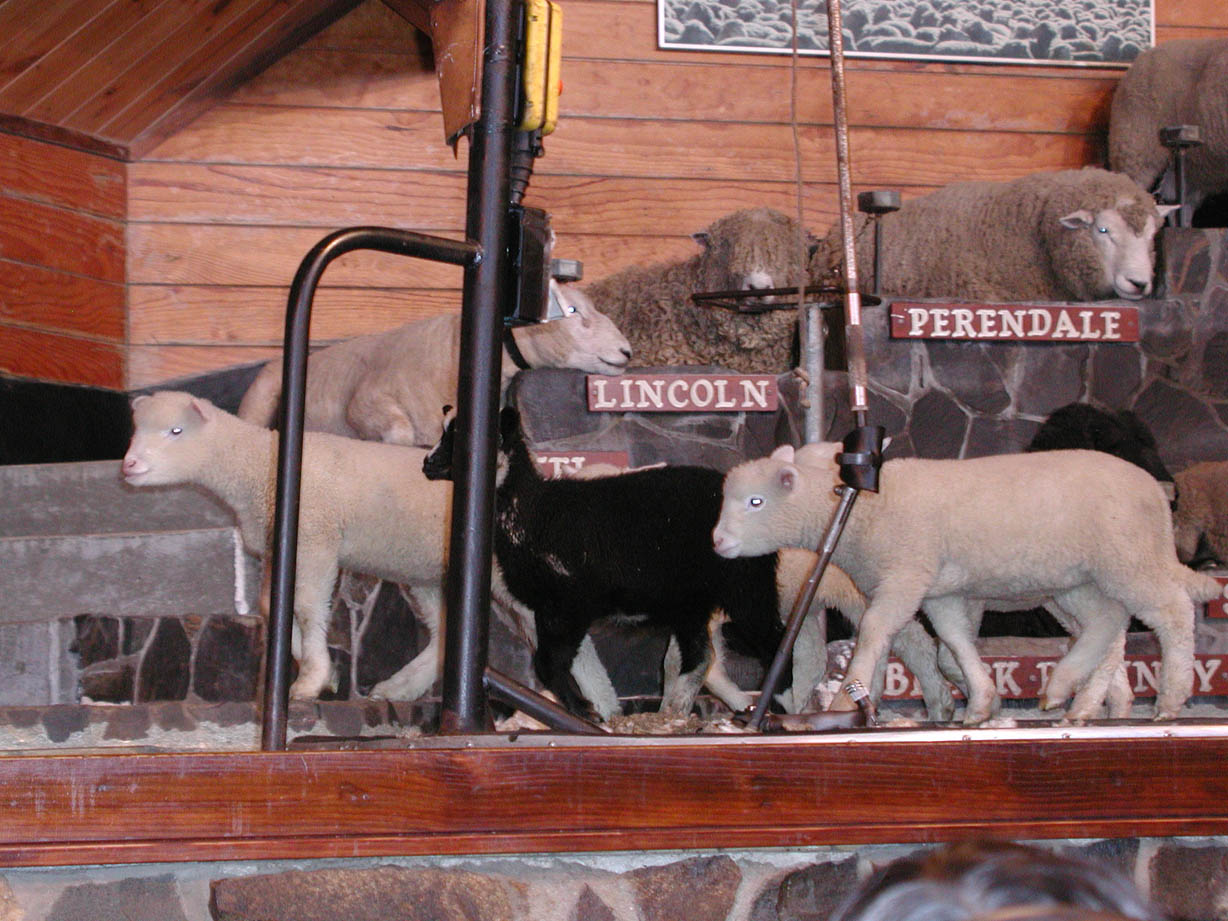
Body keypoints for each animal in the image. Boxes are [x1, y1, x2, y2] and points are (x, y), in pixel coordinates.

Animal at [120, 391, 620, 715]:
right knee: (442, 633)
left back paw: (603, 708)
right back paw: (400, 687)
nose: (128, 466)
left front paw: (310, 679)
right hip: (425, 575)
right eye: (136, 431)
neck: (256, 468)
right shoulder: (284, 549)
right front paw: (321, 672)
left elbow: (308, 607)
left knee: (572, 644)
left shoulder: (317, 541)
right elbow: (272, 607)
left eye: (176, 430)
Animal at [713, 443, 1221, 724]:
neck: (859, 510)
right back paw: (1070, 695)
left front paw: (845, 697)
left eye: (756, 501)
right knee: (1107, 627)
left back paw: (1169, 699)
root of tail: (1156, 491)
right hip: (1083, 581)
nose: (717, 541)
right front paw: (980, 698)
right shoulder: (941, 590)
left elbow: (877, 632)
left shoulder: (905, 575)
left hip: (1128, 560)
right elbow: (953, 640)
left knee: (1172, 613)